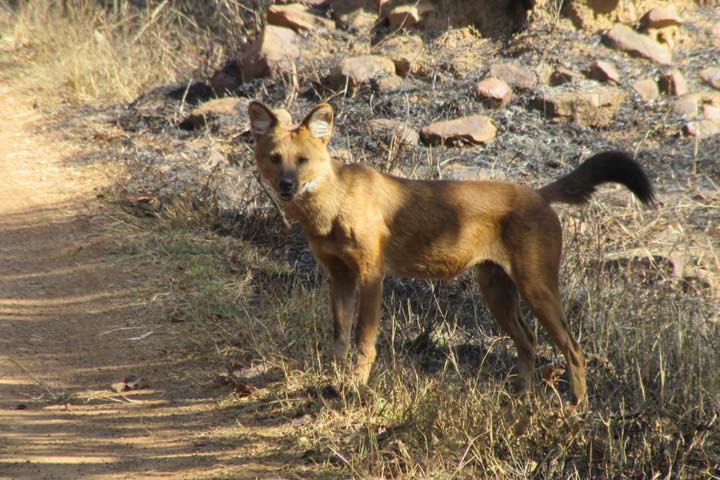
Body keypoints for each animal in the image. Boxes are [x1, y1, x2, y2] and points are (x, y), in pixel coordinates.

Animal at [249, 101, 660, 404]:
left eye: (302, 161)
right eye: (275, 157)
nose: (286, 185)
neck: (331, 208)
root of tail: (539, 193)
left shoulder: (371, 274)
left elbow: (364, 341)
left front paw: (355, 388)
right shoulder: (338, 276)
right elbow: (339, 338)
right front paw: (333, 384)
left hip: (536, 288)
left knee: (573, 347)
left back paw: (577, 408)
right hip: (496, 292)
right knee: (528, 342)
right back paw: (522, 402)